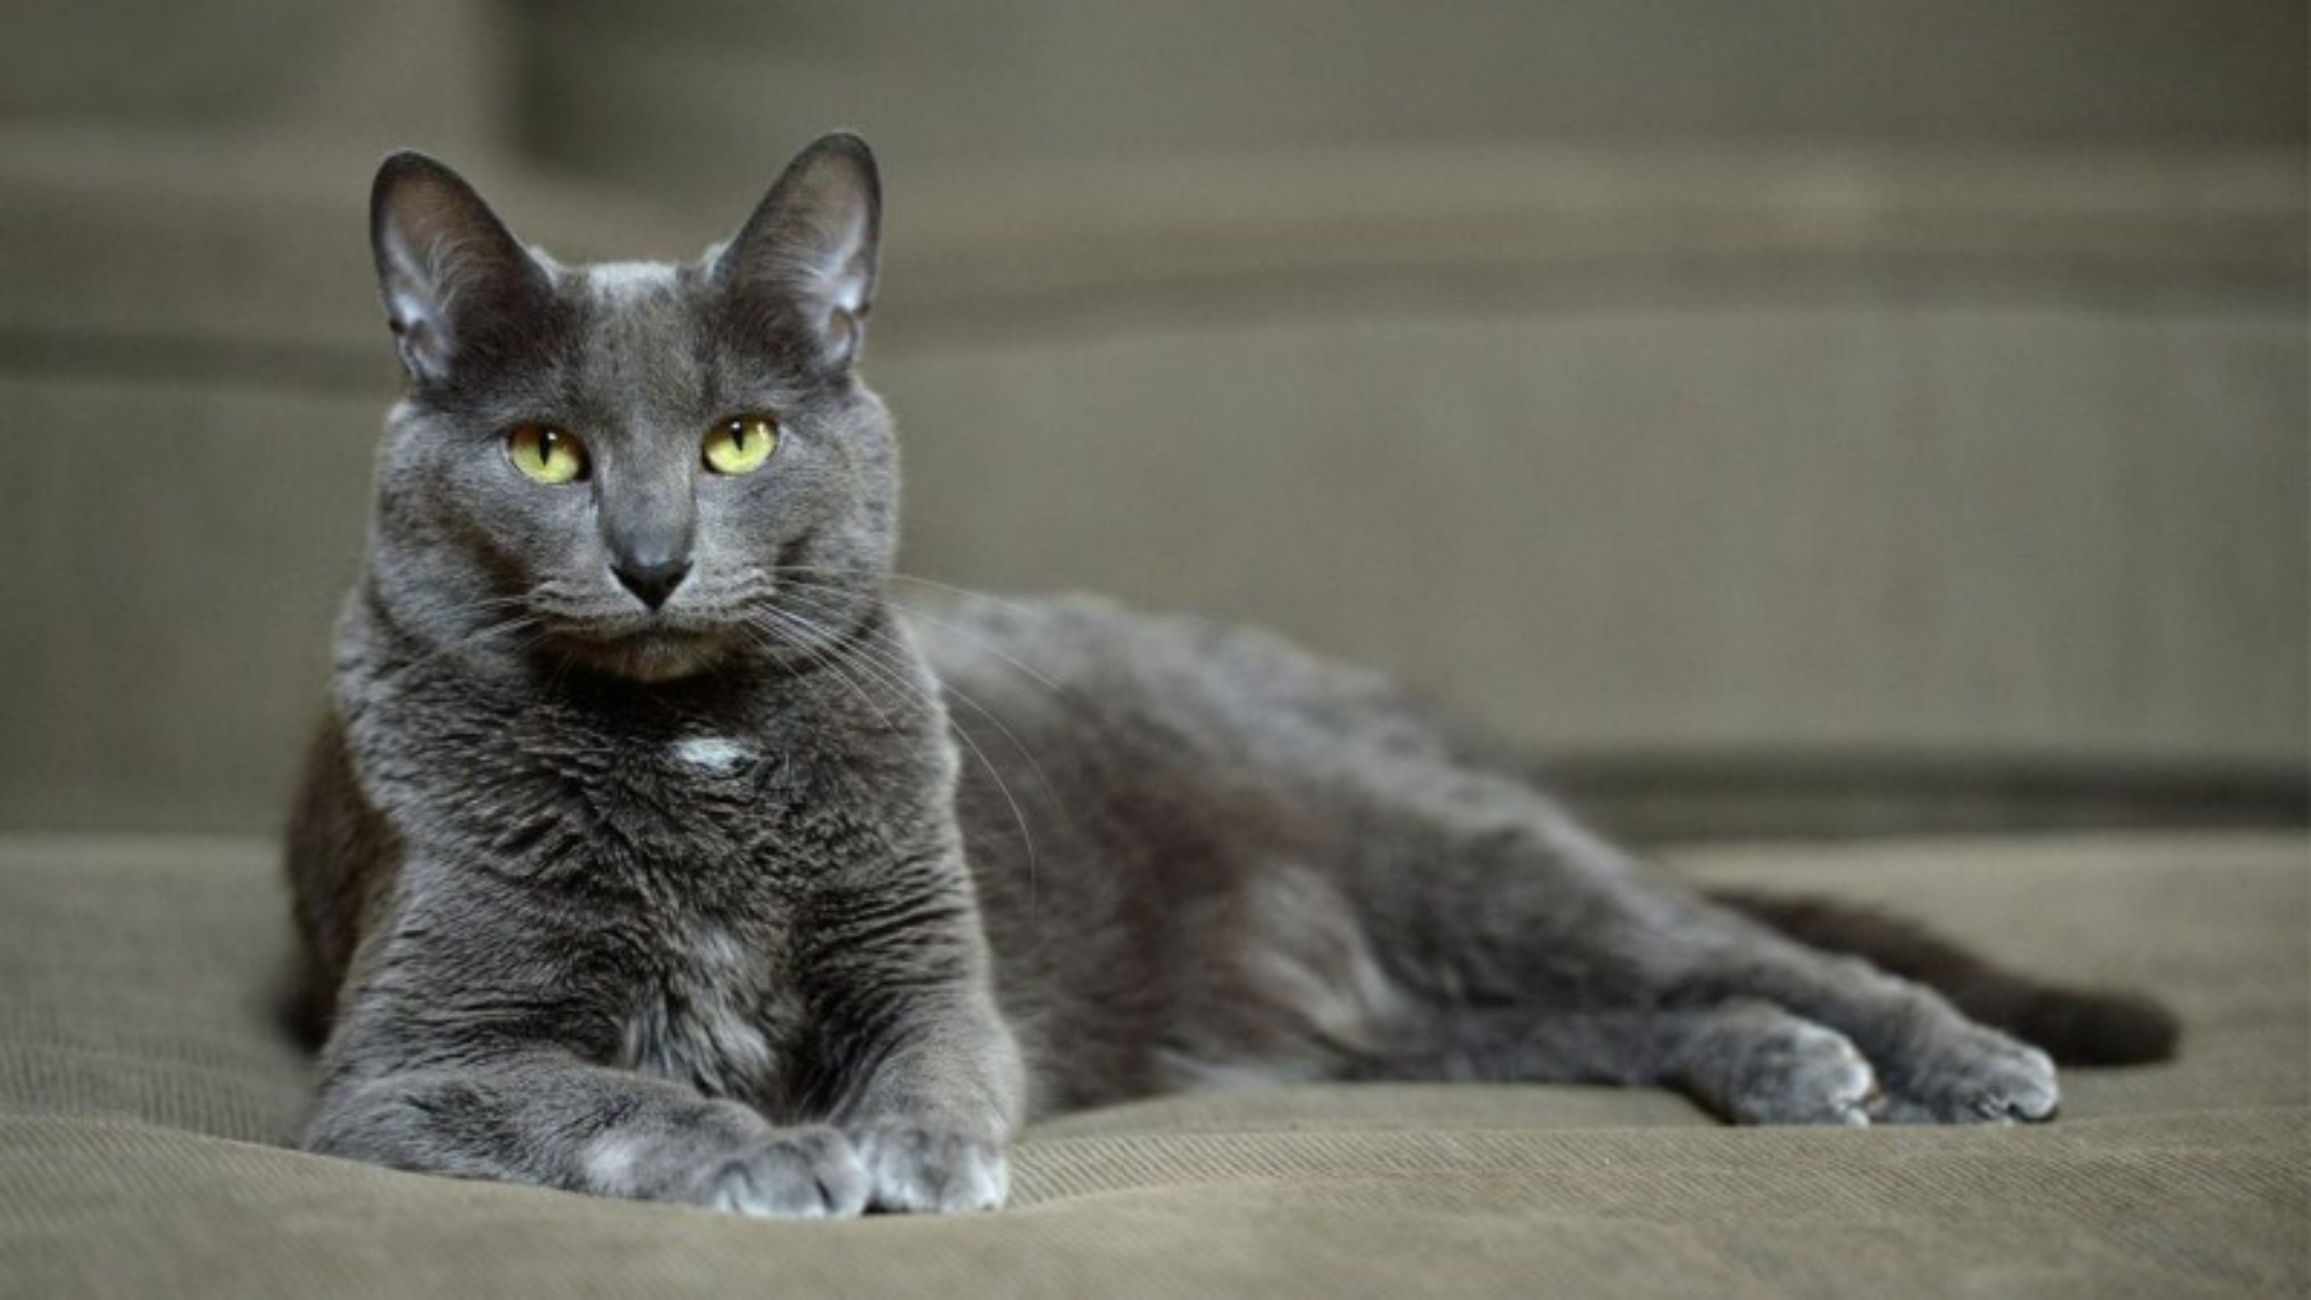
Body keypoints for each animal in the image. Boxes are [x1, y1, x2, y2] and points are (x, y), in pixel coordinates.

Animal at [279, 132, 2172, 1219]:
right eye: (544, 450)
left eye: (737, 438)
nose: (657, 555)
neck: (695, 745)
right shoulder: (403, 1064)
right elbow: (606, 1097)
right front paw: (771, 1151)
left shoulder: (932, 965)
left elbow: (938, 1063)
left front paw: (909, 1156)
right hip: (1379, 998)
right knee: (1554, 1017)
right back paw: (1778, 1065)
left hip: (1454, 853)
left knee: (1743, 946)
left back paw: (1943, 1062)